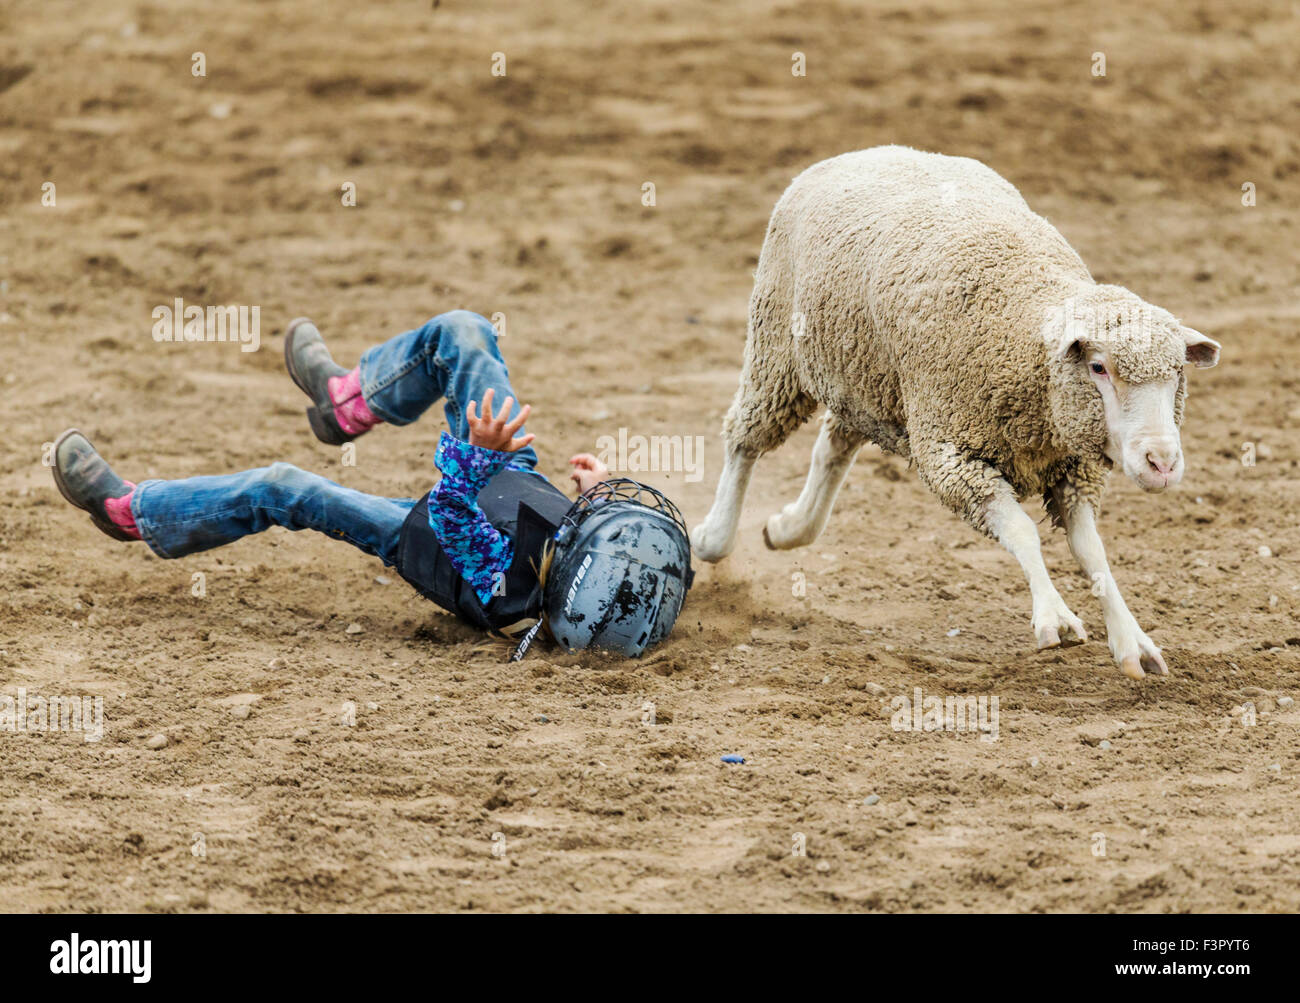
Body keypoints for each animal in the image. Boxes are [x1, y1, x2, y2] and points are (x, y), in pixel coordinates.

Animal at [696, 144, 1222, 680]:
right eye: (1098, 367)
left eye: (1177, 374)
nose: (1162, 463)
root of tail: (865, 150)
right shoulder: (953, 458)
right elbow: (1023, 532)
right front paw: (1053, 615)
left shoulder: (1073, 467)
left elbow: (1092, 553)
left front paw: (1131, 641)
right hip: (778, 348)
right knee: (744, 440)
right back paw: (714, 537)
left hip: (865, 379)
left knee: (833, 446)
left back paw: (788, 527)